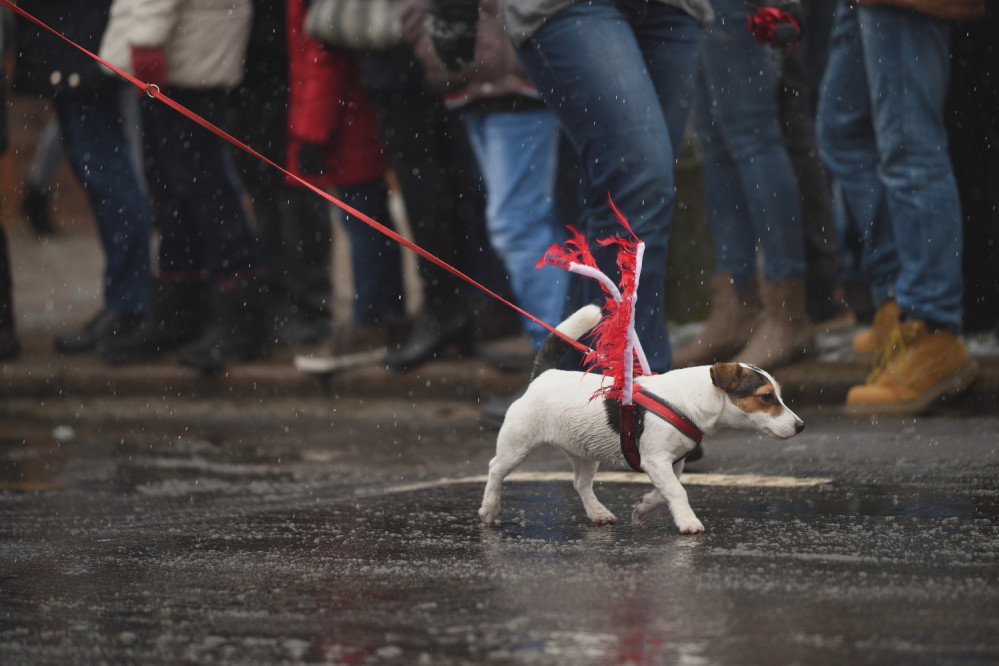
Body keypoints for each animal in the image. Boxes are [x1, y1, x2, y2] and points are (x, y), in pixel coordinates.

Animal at [476, 304, 804, 532]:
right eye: (766, 397)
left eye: (778, 394)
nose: (801, 426)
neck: (690, 399)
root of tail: (543, 375)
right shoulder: (655, 459)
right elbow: (677, 491)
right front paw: (688, 522)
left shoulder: (673, 462)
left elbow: (664, 491)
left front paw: (645, 506)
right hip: (517, 444)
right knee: (495, 469)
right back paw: (489, 509)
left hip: (583, 449)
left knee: (581, 483)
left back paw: (598, 513)